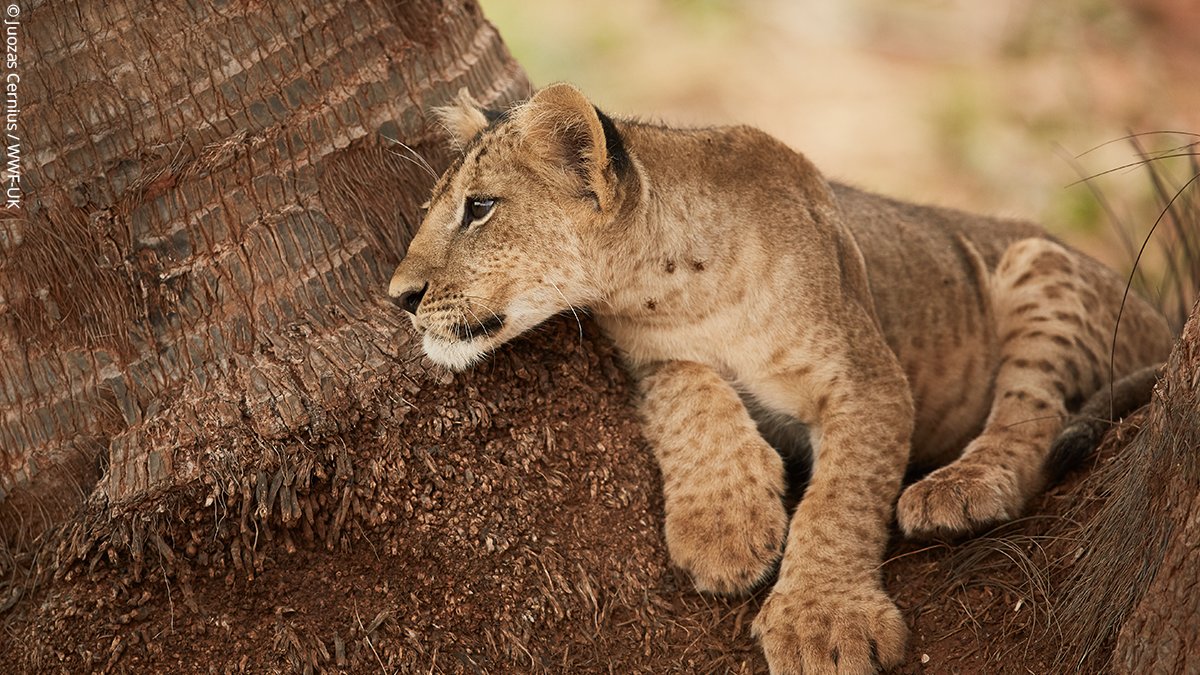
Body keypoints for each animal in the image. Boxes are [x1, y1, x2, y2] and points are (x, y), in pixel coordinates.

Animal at [387, 83, 1172, 674]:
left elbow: (841, 499)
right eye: (431, 210)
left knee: (1034, 412)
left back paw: (962, 486)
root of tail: (1165, 319)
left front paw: (823, 624)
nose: (398, 296)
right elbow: (692, 395)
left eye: (479, 208)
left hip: (1040, 262)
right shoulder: (650, 357)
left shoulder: (870, 377)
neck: (675, 289)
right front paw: (725, 529)